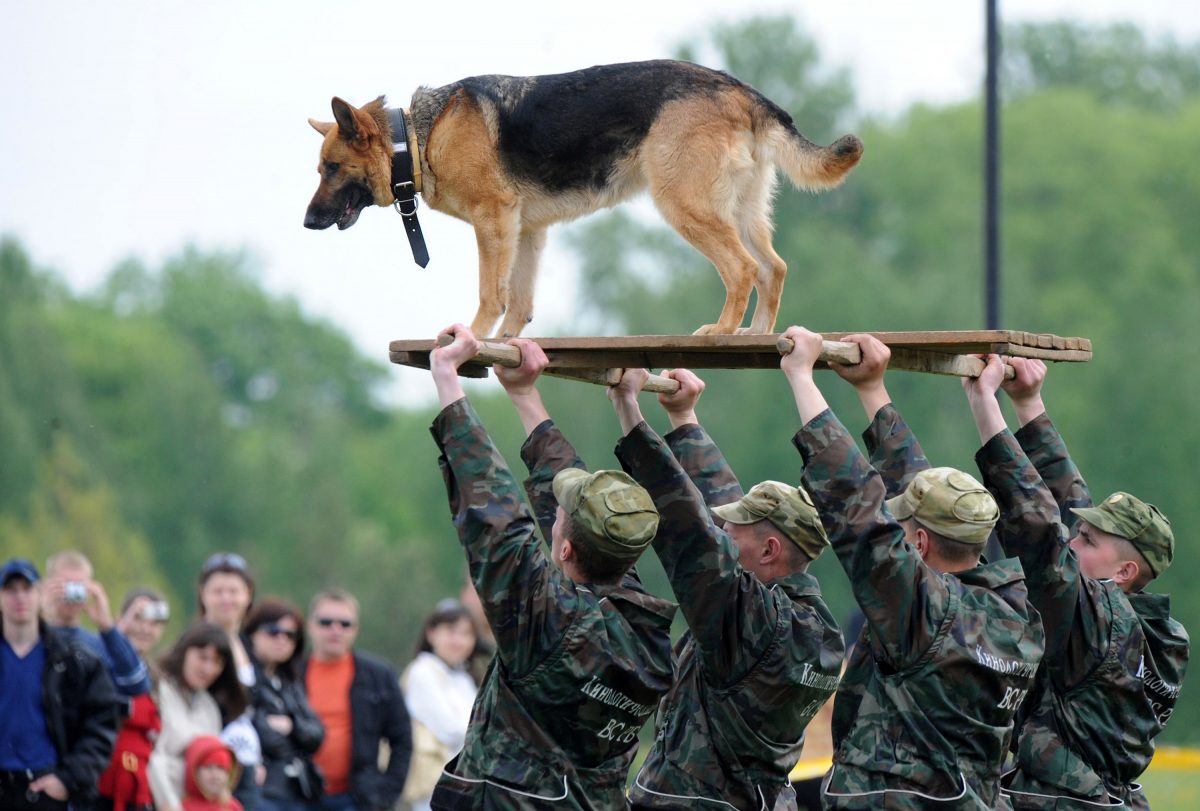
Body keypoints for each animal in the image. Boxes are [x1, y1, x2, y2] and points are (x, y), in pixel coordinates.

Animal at [304, 60, 859, 338]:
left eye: (332, 168)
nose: (308, 223)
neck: (417, 136)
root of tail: (741, 90)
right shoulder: (525, 231)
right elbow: (519, 303)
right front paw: (504, 348)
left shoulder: (493, 222)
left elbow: (490, 294)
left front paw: (474, 337)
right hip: (739, 210)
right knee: (773, 267)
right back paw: (756, 334)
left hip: (685, 206)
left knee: (743, 269)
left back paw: (722, 330)